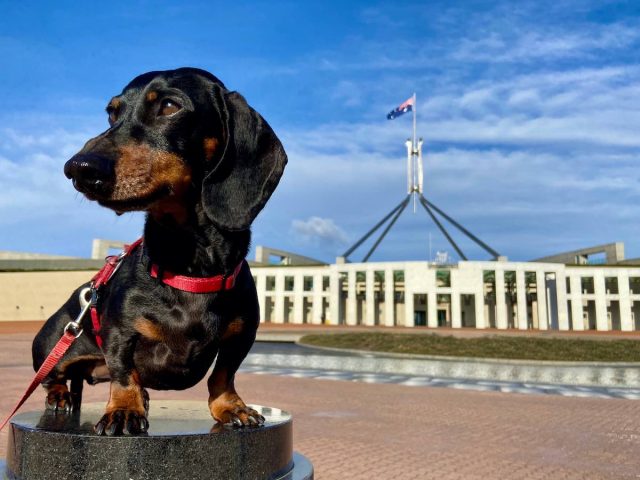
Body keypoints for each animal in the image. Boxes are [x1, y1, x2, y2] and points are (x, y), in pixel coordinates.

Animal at [31, 66, 288, 436]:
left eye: (169, 106)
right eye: (112, 113)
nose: (78, 168)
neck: (188, 264)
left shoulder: (241, 337)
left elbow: (223, 375)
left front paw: (231, 407)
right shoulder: (119, 333)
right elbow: (124, 373)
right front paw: (123, 410)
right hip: (53, 346)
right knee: (52, 377)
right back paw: (62, 396)